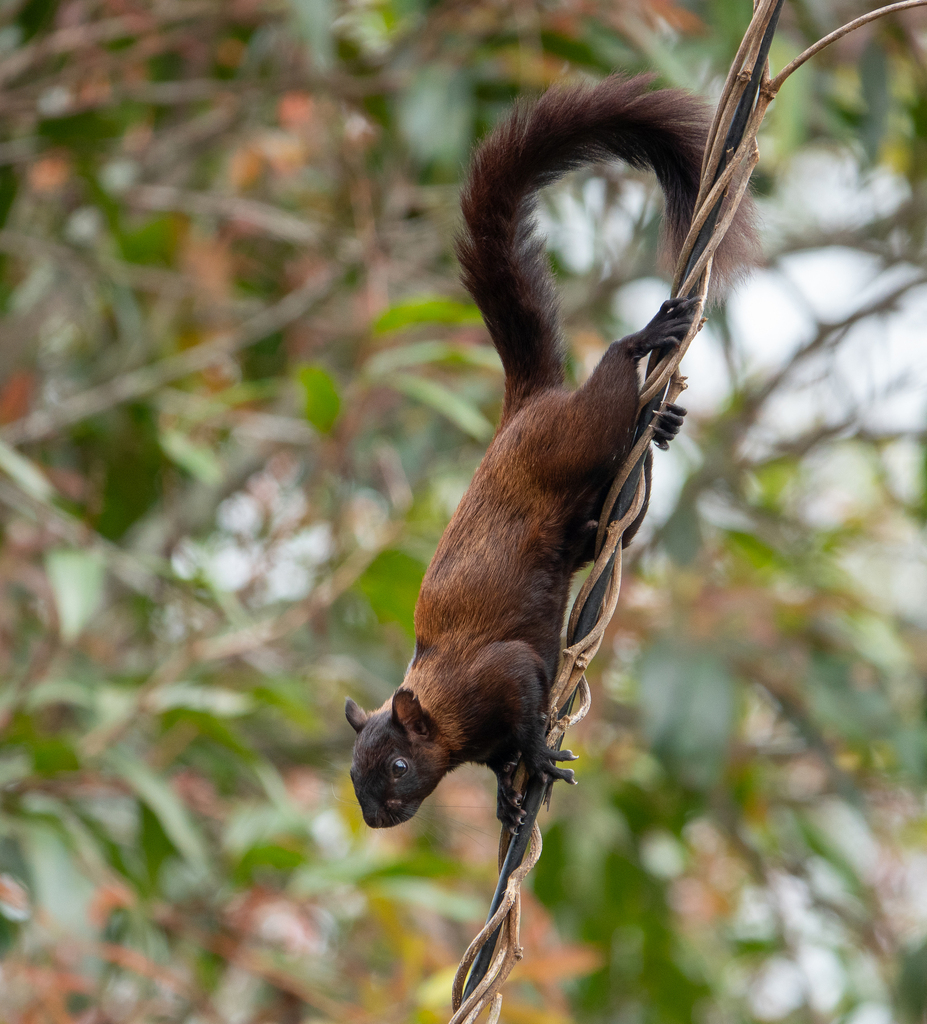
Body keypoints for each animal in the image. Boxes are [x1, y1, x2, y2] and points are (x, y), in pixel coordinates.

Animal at [344, 74, 757, 831]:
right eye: (355, 774)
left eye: (396, 767)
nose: (378, 818)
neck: (442, 711)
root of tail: (525, 407)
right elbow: (499, 760)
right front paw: (507, 800)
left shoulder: (498, 674)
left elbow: (525, 703)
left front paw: (536, 761)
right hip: (583, 514)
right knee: (609, 526)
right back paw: (658, 428)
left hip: (575, 436)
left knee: (610, 392)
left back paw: (647, 347)